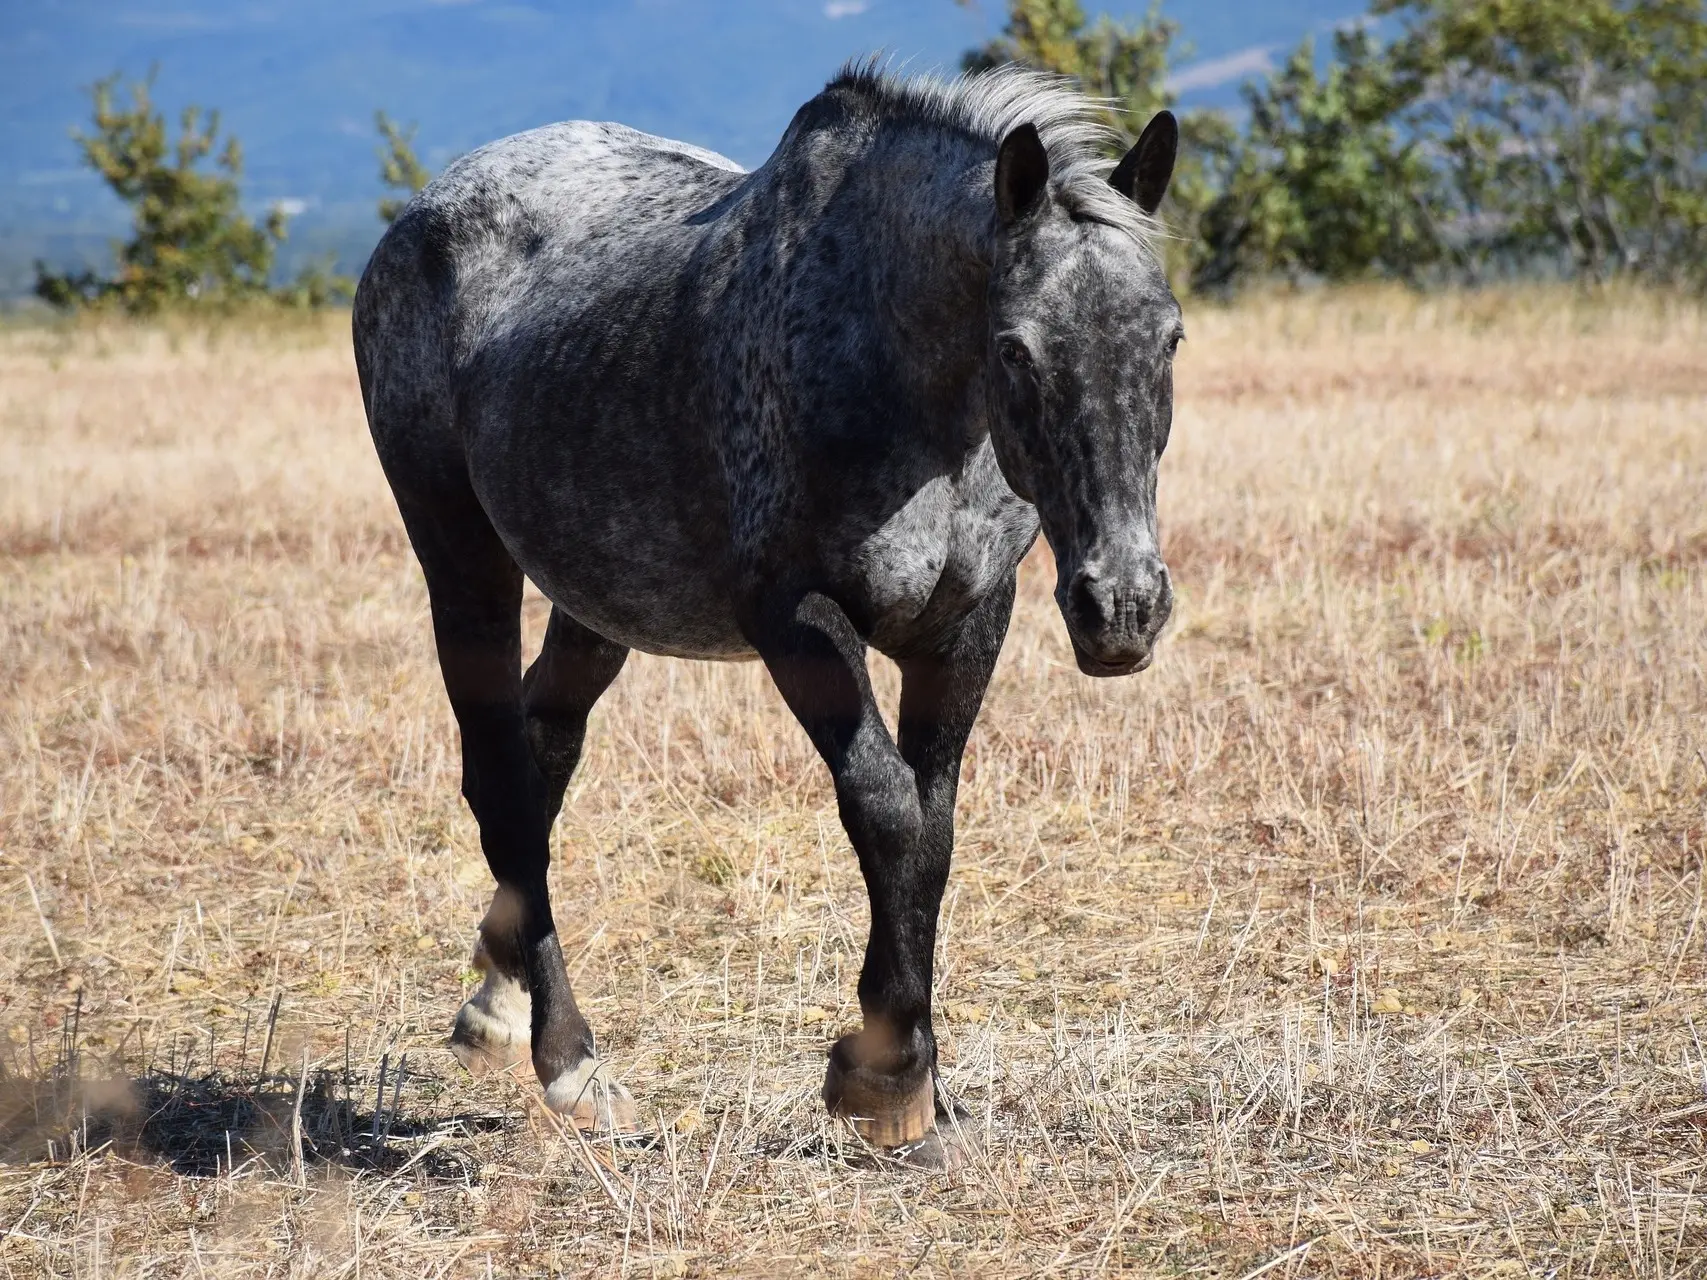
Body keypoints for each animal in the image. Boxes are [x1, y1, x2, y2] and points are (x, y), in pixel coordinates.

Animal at [353, 62, 1181, 1174]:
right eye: (1015, 349)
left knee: (541, 751)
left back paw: (496, 993)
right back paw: (569, 1062)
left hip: (593, 604)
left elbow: (932, 829)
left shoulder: (966, 626)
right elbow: (885, 810)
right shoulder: (799, 622)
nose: (1121, 606)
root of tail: (421, 216)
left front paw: (920, 1086)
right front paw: (887, 1079)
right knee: (500, 770)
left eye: (1170, 336)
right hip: (462, 559)